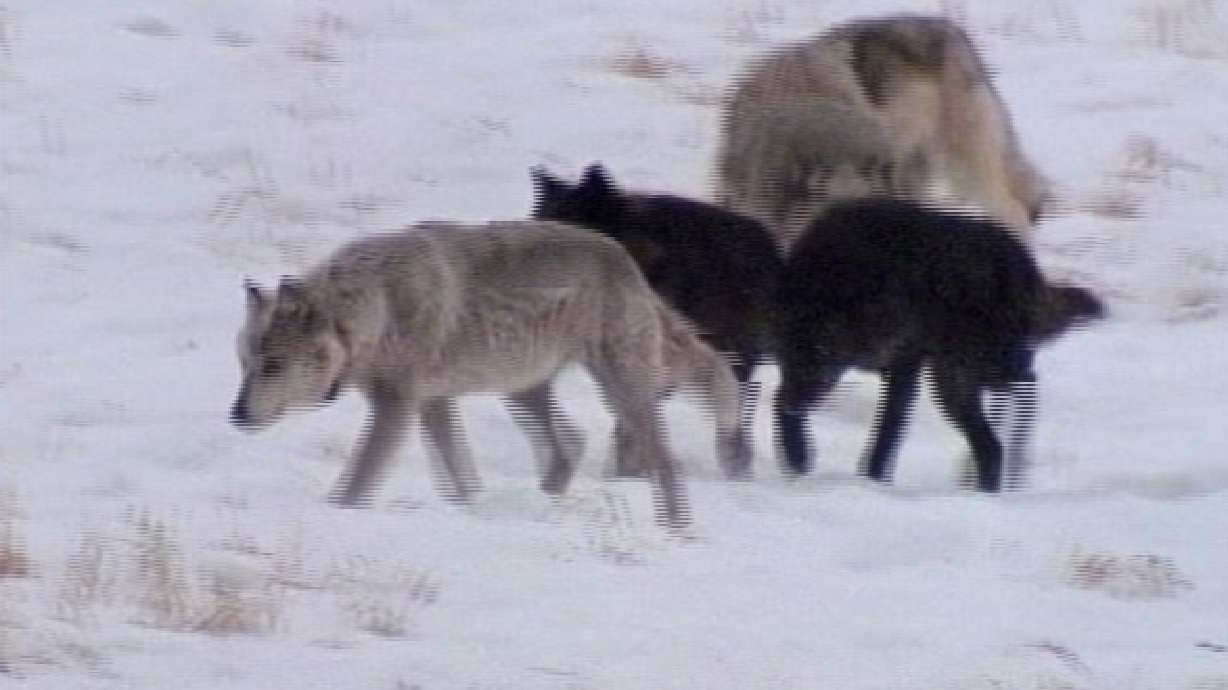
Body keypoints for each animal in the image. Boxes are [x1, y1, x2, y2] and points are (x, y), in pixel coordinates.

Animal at [229, 220, 751, 528]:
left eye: (273, 366)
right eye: (245, 364)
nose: (236, 416)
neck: (374, 311)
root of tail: (628, 262)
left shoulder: (398, 408)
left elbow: (357, 481)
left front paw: (336, 515)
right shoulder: (433, 405)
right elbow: (460, 477)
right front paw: (473, 511)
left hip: (620, 393)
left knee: (663, 461)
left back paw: (676, 529)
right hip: (521, 392)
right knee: (570, 444)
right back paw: (543, 506)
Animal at [774, 198, 1103, 491]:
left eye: (819, 356)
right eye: (786, 360)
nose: (793, 406)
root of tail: (1025, 265)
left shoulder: (903, 367)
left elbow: (886, 435)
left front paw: (872, 484)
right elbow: (781, 405)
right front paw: (797, 457)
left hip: (968, 373)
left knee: (1024, 388)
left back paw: (1007, 476)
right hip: (956, 381)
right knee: (993, 444)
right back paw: (986, 487)